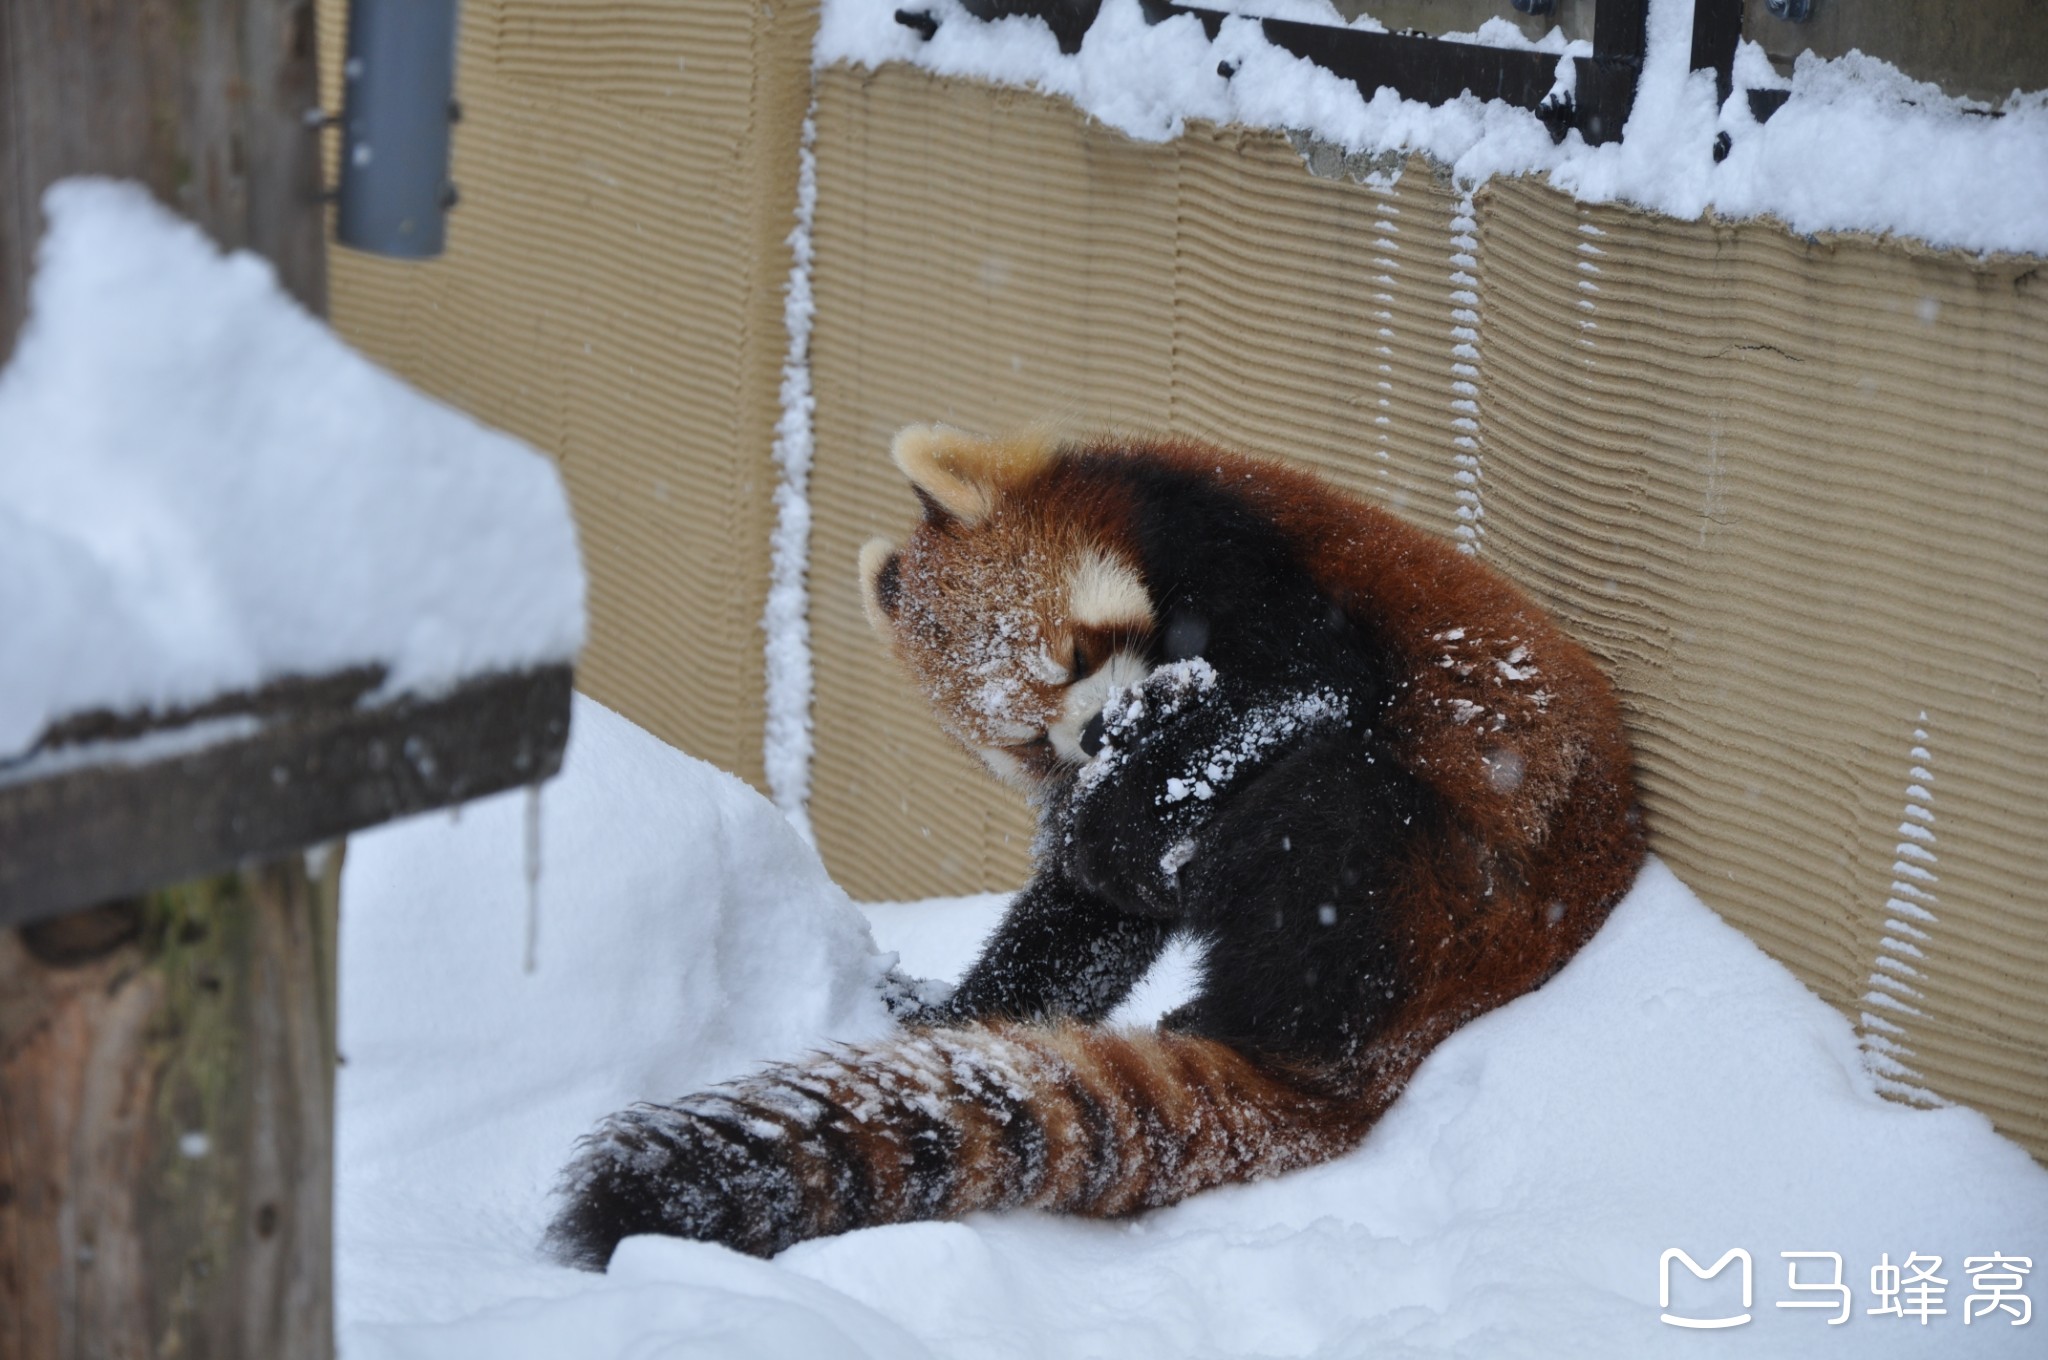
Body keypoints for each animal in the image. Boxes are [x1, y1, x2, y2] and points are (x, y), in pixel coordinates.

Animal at [540, 426, 1630, 1261]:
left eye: (1073, 652)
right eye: (1026, 739)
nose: (1103, 731)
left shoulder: (1260, 576)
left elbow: (1298, 695)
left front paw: (1144, 789)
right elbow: (1082, 915)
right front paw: (960, 1010)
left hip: (1445, 867)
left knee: (1329, 810)